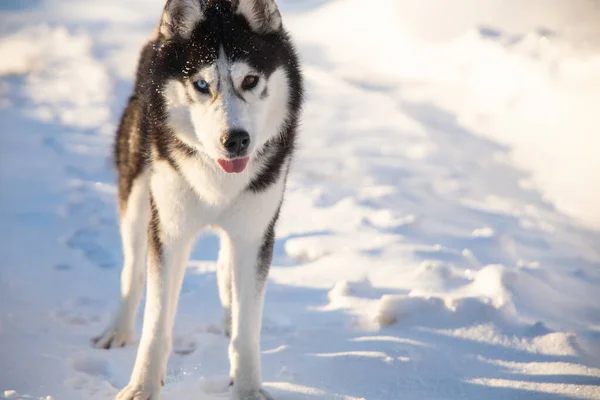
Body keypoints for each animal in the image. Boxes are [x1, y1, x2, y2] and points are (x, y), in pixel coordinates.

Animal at [92, 1, 304, 398]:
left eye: (250, 81)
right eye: (202, 84)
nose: (236, 140)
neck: (218, 177)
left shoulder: (255, 234)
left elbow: (247, 329)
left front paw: (247, 387)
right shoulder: (169, 231)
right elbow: (156, 324)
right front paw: (142, 386)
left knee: (226, 267)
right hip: (136, 192)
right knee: (133, 270)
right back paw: (118, 329)